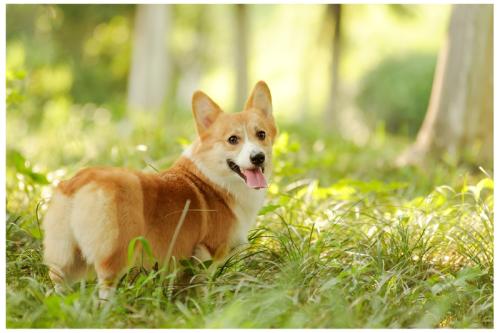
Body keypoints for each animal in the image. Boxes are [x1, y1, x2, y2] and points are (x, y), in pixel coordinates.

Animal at [42, 81, 278, 298]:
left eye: (261, 134)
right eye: (232, 139)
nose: (258, 157)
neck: (216, 178)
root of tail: (79, 182)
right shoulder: (206, 253)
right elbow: (200, 286)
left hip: (66, 256)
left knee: (59, 282)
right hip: (117, 249)